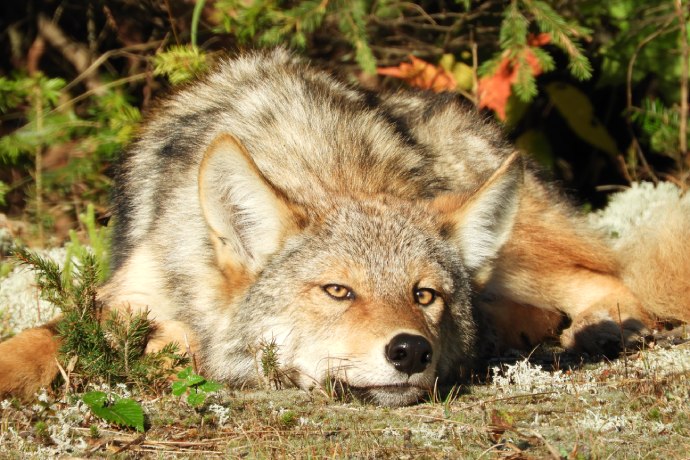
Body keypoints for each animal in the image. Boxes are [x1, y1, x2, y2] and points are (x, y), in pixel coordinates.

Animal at [0, 49, 684, 406]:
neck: (326, 162)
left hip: (523, 252)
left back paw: (599, 327)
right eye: (337, 291)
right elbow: (47, 335)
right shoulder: (125, 295)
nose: (411, 351)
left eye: (424, 295)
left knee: (609, 279)